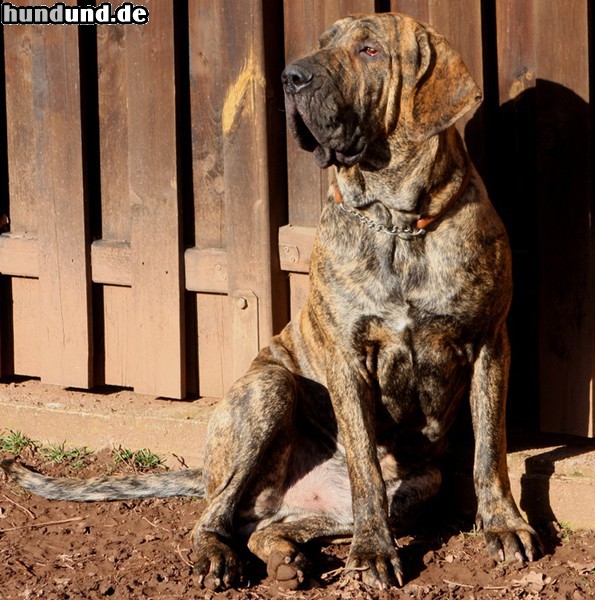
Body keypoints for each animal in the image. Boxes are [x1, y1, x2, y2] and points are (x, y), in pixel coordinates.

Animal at [0, 11, 544, 592]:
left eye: (371, 50)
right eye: (324, 43)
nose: (292, 77)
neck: (398, 222)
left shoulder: (489, 343)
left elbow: (489, 450)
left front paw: (504, 524)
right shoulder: (349, 359)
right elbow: (366, 469)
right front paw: (375, 551)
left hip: (421, 482)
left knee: (264, 525)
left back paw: (286, 557)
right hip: (267, 390)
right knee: (215, 515)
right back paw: (220, 555)